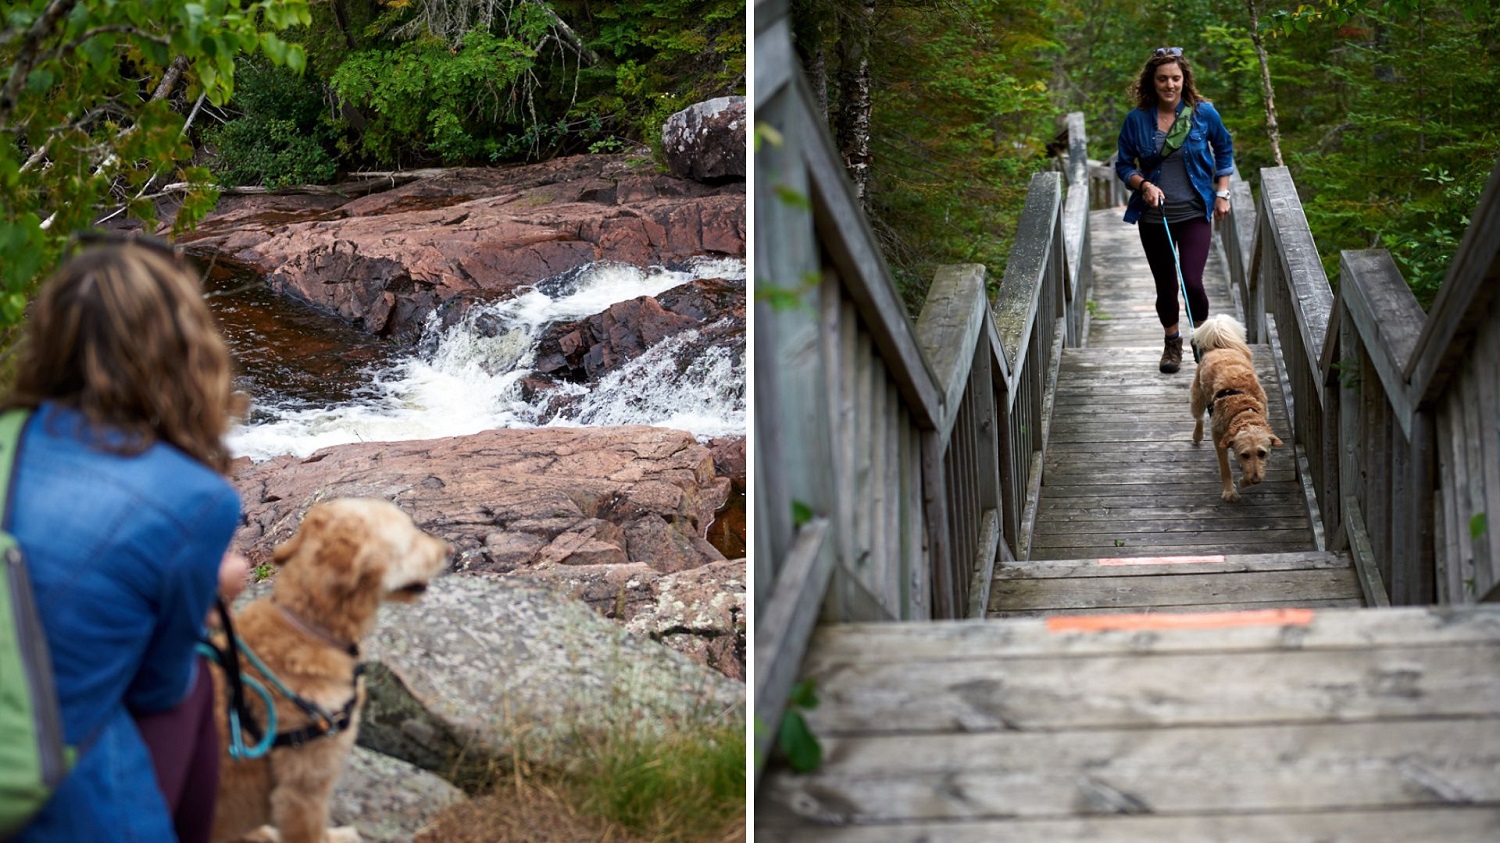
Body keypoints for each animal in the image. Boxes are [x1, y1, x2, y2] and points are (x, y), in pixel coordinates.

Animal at [1188, 313, 1284, 498]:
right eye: (1245, 454)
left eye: (1262, 453)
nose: (1256, 480)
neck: (1243, 408)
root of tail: (1219, 345)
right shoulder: (1218, 435)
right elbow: (1225, 467)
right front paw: (1229, 491)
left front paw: (1245, 481)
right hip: (1198, 398)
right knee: (1199, 418)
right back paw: (1197, 435)